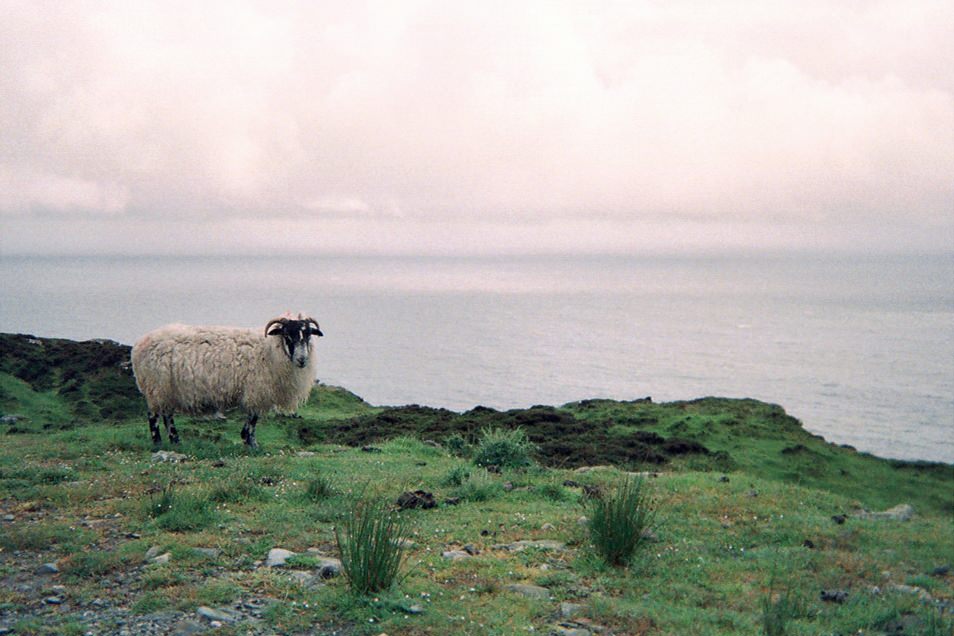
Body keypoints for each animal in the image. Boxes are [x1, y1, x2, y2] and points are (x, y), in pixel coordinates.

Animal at [130, 314, 324, 448]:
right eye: (287, 335)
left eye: (308, 335)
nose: (302, 360)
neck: (270, 350)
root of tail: (139, 344)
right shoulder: (256, 391)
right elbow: (253, 419)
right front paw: (251, 442)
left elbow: (252, 418)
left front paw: (246, 439)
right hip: (156, 386)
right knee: (154, 416)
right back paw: (158, 442)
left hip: (167, 389)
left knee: (167, 415)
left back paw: (175, 440)